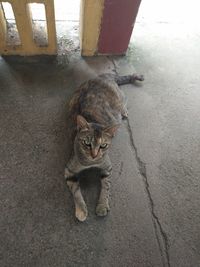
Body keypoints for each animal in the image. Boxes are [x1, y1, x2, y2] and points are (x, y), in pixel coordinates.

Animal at [65, 73, 143, 222]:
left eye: (103, 145)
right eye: (87, 143)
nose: (94, 154)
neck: (91, 163)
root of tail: (105, 76)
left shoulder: (107, 168)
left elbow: (105, 188)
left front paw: (101, 206)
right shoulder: (69, 171)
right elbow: (76, 192)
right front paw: (81, 210)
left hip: (119, 98)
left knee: (123, 100)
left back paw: (124, 111)